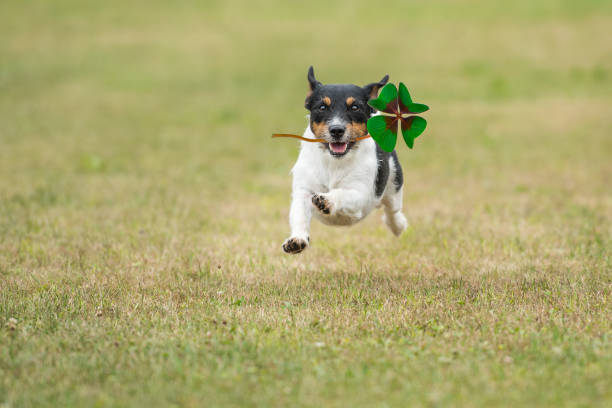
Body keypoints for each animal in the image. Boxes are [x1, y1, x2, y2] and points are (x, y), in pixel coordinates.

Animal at [280, 65, 406, 253]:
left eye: (354, 107)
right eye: (322, 107)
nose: (337, 130)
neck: (334, 161)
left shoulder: (360, 193)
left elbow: (342, 193)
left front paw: (327, 200)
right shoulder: (303, 191)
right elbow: (299, 215)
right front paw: (297, 239)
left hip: (394, 185)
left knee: (392, 211)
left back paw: (398, 226)